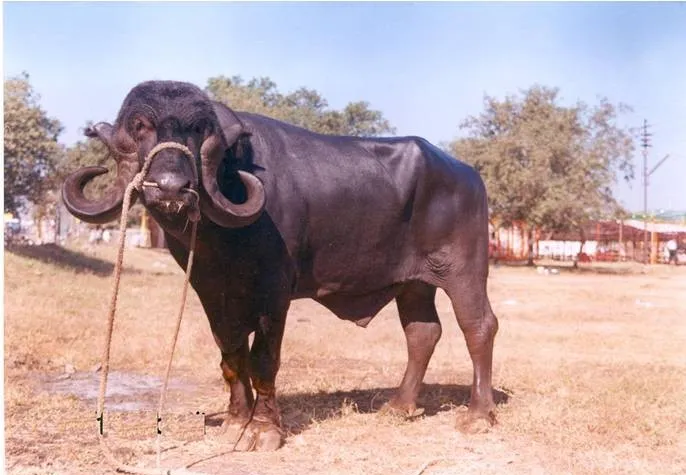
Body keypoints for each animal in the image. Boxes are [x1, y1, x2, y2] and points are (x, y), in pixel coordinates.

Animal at [62, 81, 499, 451]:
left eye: (198, 129)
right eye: (140, 126)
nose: (171, 187)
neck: (221, 235)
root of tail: (468, 174)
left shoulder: (274, 290)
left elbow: (263, 359)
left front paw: (263, 429)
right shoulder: (209, 288)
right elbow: (231, 354)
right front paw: (236, 421)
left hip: (463, 268)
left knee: (478, 326)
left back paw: (478, 415)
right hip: (414, 283)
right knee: (422, 333)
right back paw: (399, 406)